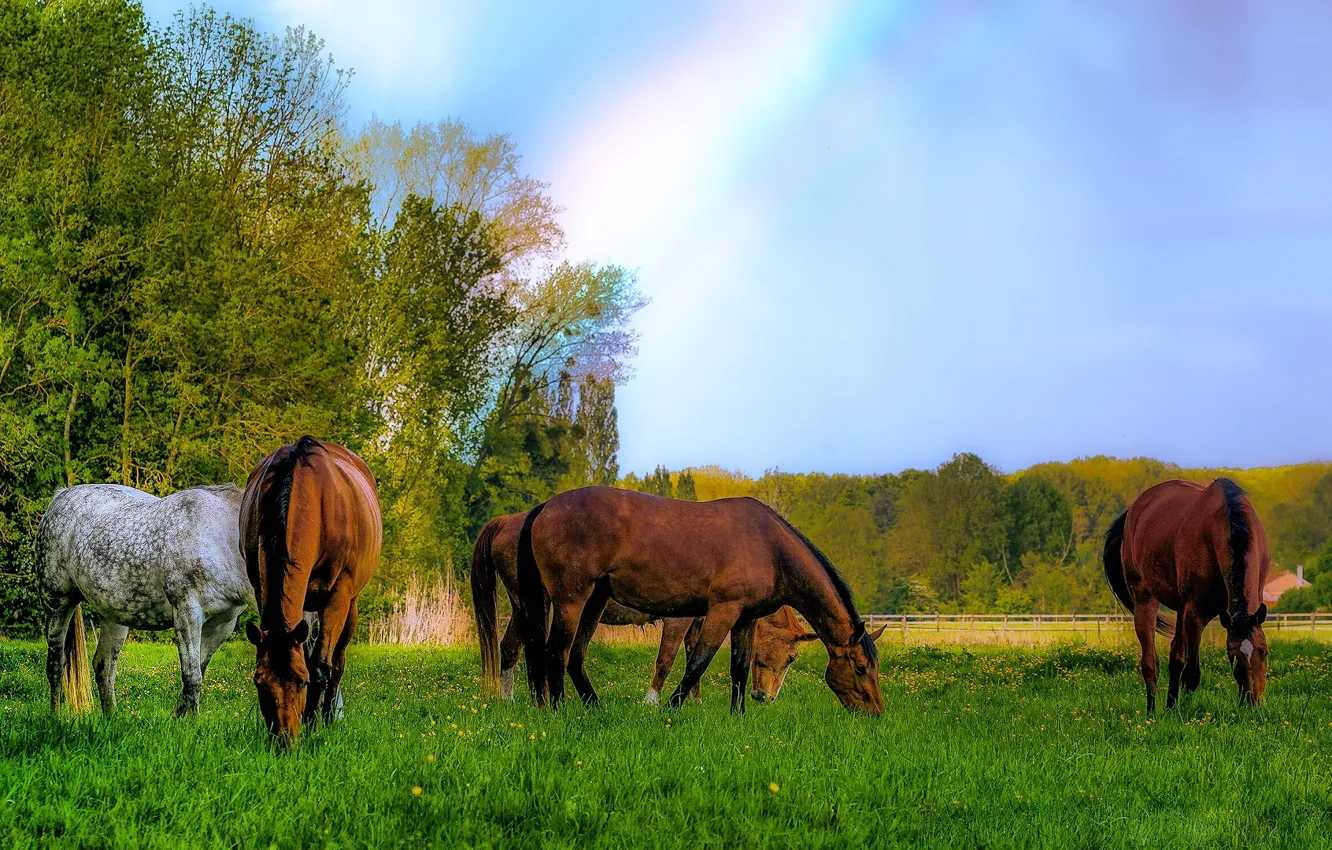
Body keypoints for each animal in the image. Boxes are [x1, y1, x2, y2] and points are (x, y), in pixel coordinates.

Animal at [35, 482, 257, 714]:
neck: (220, 537)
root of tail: (61, 495)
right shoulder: (187, 613)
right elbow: (192, 678)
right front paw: (191, 721)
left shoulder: (223, 624)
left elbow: (196, 676)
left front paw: (177, 718)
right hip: (57, 603)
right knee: (56, 664)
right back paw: (56, 717)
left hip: (114, 615)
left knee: (104, 666)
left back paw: (111, 718)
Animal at [241, 439, 380, 746]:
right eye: (259, 682)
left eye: (301, 681)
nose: (283, 742)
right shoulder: (260, 587)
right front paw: (307, 720)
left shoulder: (338, 596)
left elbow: (320, 665)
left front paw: (315, 724)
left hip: (351, 604)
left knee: (337, 662)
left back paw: (327, 716)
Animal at [511, 490, 884, 714]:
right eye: (860, 668)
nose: (875, 714)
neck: (769, 547)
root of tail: (543, 508)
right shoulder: (721, 611)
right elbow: (696, 663)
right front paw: (668, 710)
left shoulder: (745, 619)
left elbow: (739, 667)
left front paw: (738, 716)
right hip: (571, 601)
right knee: (556, 652)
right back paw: (559, 710)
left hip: (593, 601)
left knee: (574, 656)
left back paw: (594, 709)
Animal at [1097, 479, 1273, 714]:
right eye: (1232, 655)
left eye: (1264, 652)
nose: (1253, 702)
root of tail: (1134, 509)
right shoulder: (1194, 611)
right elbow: (1192, 674)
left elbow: (1181, 663)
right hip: (1145, 599)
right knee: (1150, 662)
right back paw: (1152, 712)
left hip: (1180, 610)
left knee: (1175, 657)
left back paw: (1170, 707)